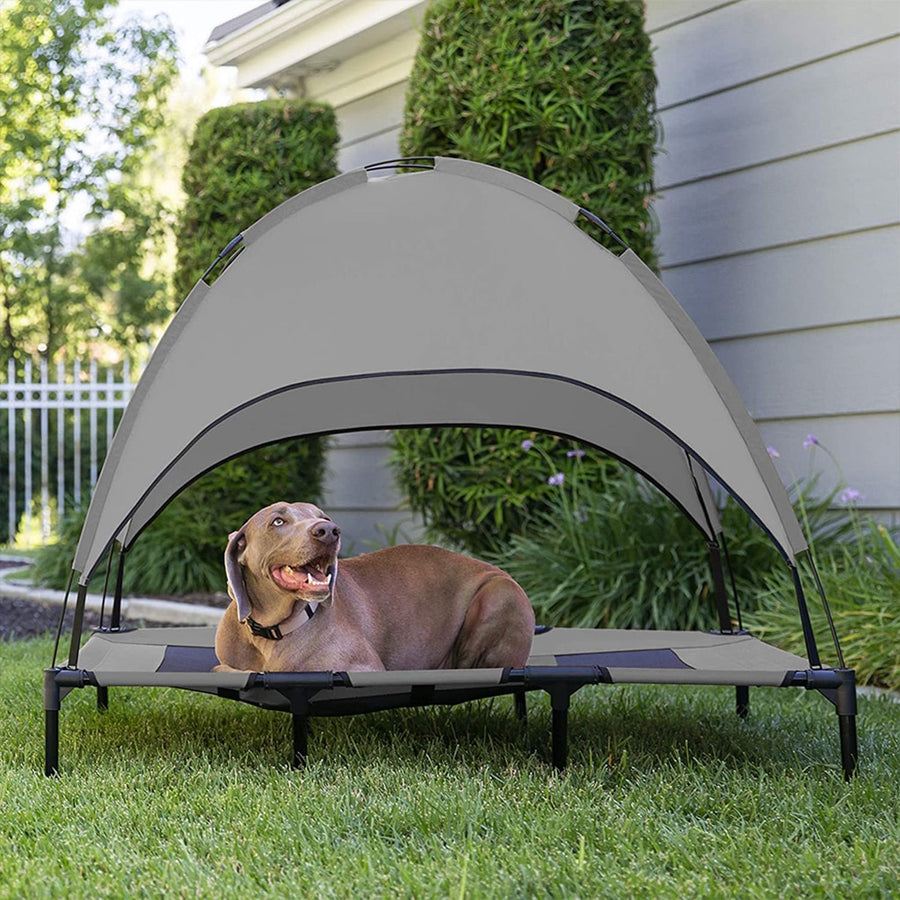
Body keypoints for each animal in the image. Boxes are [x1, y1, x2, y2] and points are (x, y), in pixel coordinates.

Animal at [213, 502, 536, 672]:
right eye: (278, 521)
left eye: (323, 517)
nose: (329, 531)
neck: (270, 632)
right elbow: (226, 667)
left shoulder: (363, 667)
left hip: (498, 595)